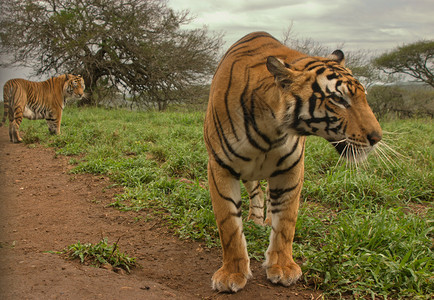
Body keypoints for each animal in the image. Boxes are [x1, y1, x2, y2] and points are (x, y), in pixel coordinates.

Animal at [203, 31, 384, 292]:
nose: (377, 137)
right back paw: (255, 220)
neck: (271, 128)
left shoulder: (291, 169)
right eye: (339, 99)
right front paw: (231, 274)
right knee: (256, 193)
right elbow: (229, 225)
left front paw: (283, 267)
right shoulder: (220, 167)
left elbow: (286, 223)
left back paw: (267, 221)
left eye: (363, 97)